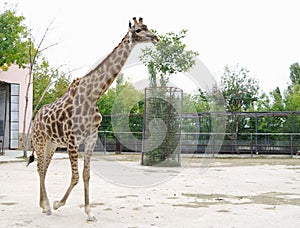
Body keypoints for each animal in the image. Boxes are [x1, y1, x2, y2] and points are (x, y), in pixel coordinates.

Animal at [28, 17, 158, 221]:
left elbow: (86, 175)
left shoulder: (91, 138)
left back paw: (43, 205)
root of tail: (34, 120)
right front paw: (58, 204)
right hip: (40, 140)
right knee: (40, 168)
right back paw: (47, 205)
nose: (155, 37)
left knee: (44, 168)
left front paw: (89, 212)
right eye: (138, 30)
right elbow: (75, 176)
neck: (93, 95)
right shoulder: (73, 140)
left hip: (52, 143)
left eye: (148, 27)